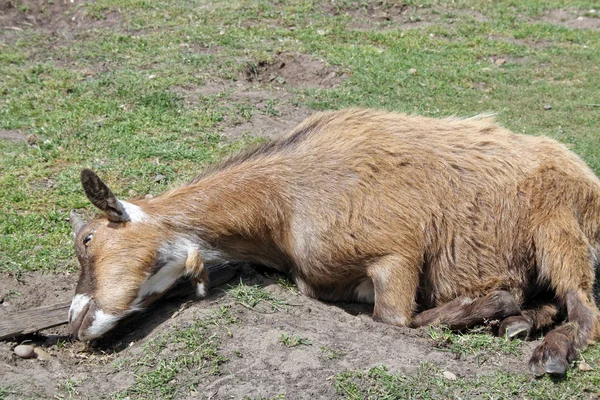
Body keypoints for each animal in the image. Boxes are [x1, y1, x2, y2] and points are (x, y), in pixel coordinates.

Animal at [68, 108, 600, 376]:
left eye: (88, 239)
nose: (74, 322)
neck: (280, 202)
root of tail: (587, 179)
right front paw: (500, 310)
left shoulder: (396, 253)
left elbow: (395, 321)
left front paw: (493, 305)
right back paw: (521, 324)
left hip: (557, 228)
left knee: (583, 306)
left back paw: (547, 351)